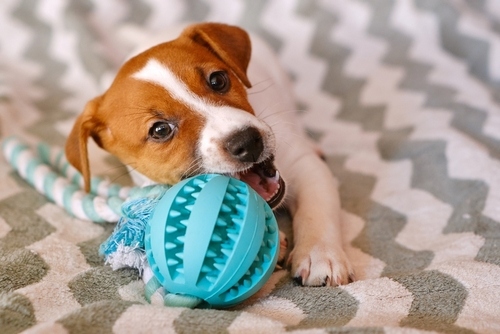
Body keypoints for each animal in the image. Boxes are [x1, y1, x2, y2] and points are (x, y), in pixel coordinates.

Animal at [66, 22, 354, 286]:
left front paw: (320, 255)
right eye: (160, 130)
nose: (248, 141)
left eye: (218, 80)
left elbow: (316, 211)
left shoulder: (305, 166)